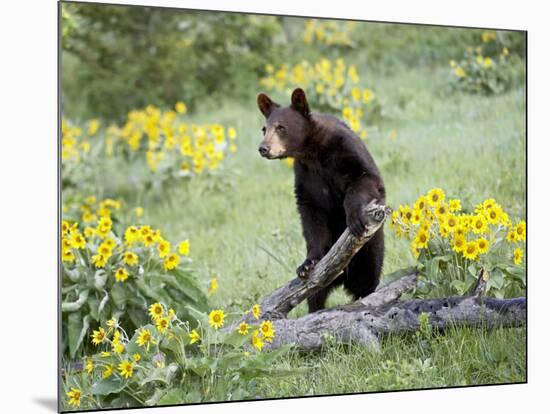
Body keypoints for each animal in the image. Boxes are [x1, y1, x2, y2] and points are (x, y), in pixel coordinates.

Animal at [258, 88, 384, 314]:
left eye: (281, 127)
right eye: (264, 129)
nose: (263, 148)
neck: (313, 152)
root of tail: (343, 278)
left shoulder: (347, 150)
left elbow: (365, 178)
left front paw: (354, 218)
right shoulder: (306, 175)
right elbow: (312, 215)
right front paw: (307, 264)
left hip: (370, 251)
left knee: (367, 281)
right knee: (315, 295)